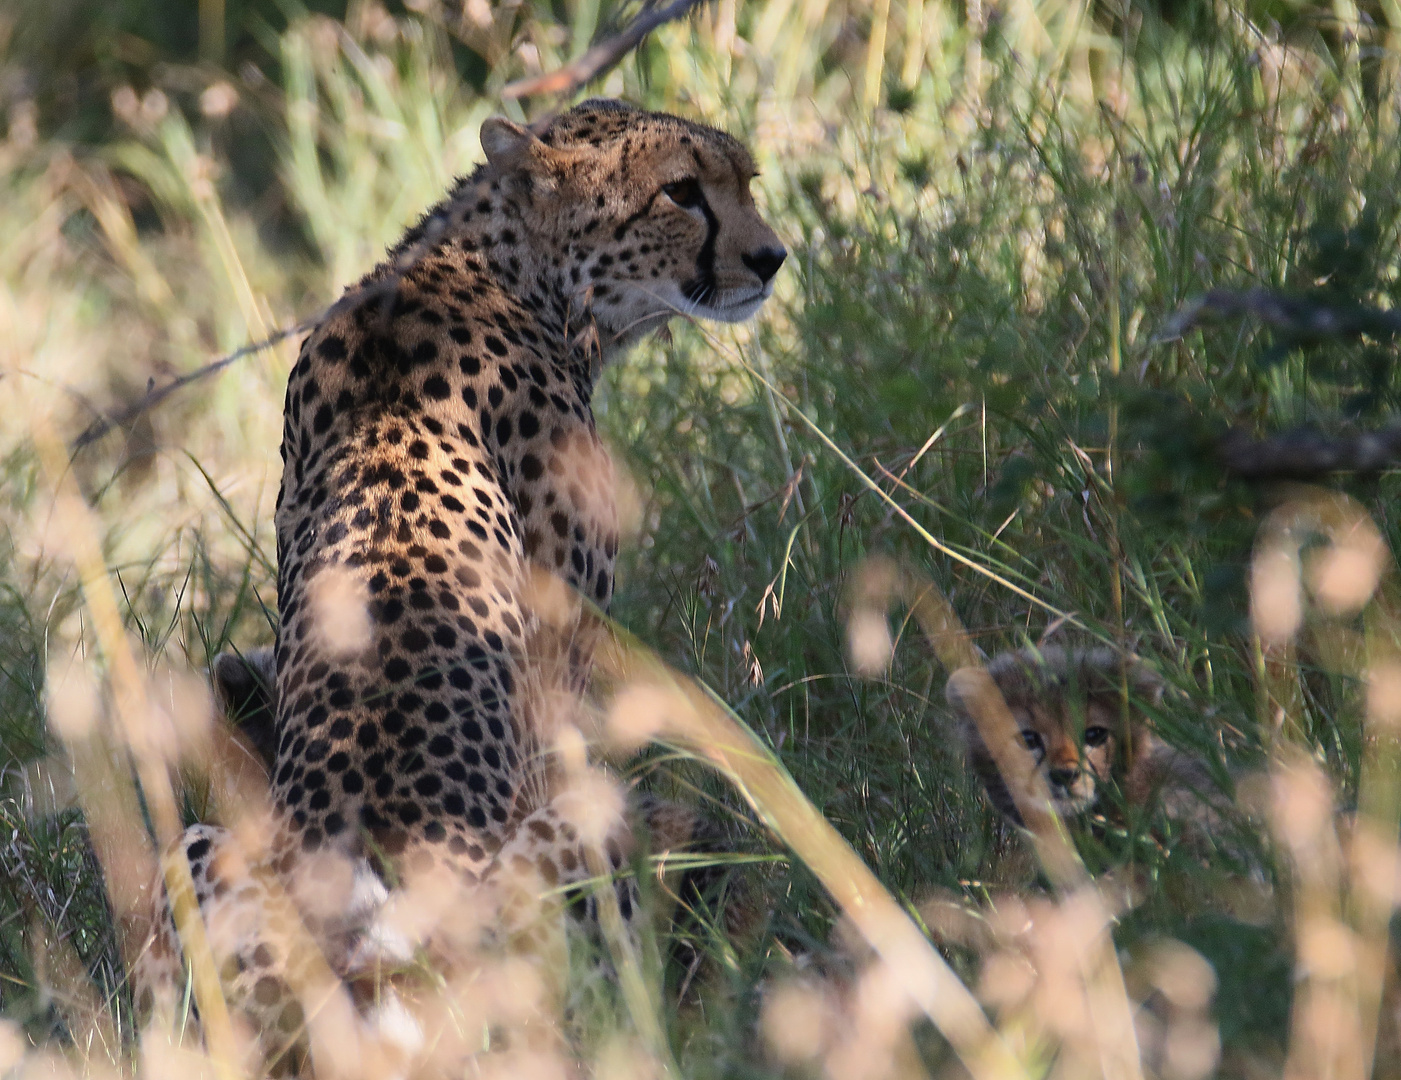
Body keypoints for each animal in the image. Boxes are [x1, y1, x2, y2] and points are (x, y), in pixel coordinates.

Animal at [135, 101, 784, 1070]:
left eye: (743, 179)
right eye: (681, 191)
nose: (770, 256)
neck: (493, 261)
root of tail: (373, 983)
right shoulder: (559, 673)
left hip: (202, 849)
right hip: (569, 854)